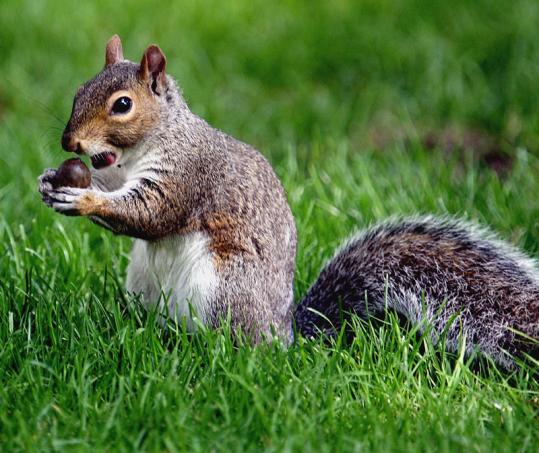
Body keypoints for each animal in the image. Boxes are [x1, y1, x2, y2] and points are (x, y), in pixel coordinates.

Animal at [35, 35, 536, 368]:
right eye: (80, 90)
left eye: (122, 105)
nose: (69, 142)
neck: (147, 145)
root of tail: (284, 334)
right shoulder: (117, 171)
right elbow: (112, 186)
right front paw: (51, 182)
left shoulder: (189, 176)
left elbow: (151, 214)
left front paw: (81, 199)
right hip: (143, 281)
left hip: (222, 288)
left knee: (229, 341)